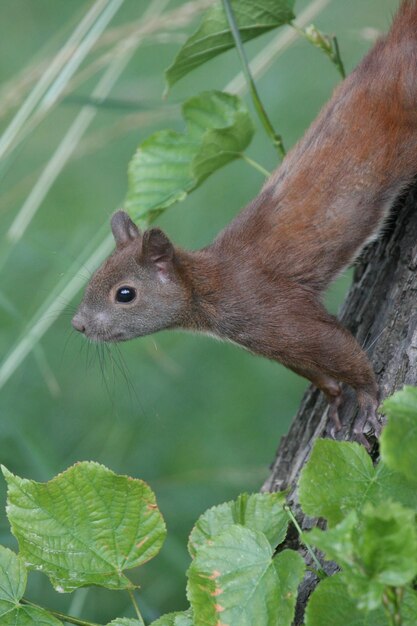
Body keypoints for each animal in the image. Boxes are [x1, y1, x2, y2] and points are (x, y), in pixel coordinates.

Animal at [71, 2, 416, 446]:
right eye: (93, 278)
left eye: (125, 294)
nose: (78, 324)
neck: (210, 289)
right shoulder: (276, 347)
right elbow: (319, 375)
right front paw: (335, 399)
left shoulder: (280, 316)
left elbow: (345, 352)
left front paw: (368, 399)